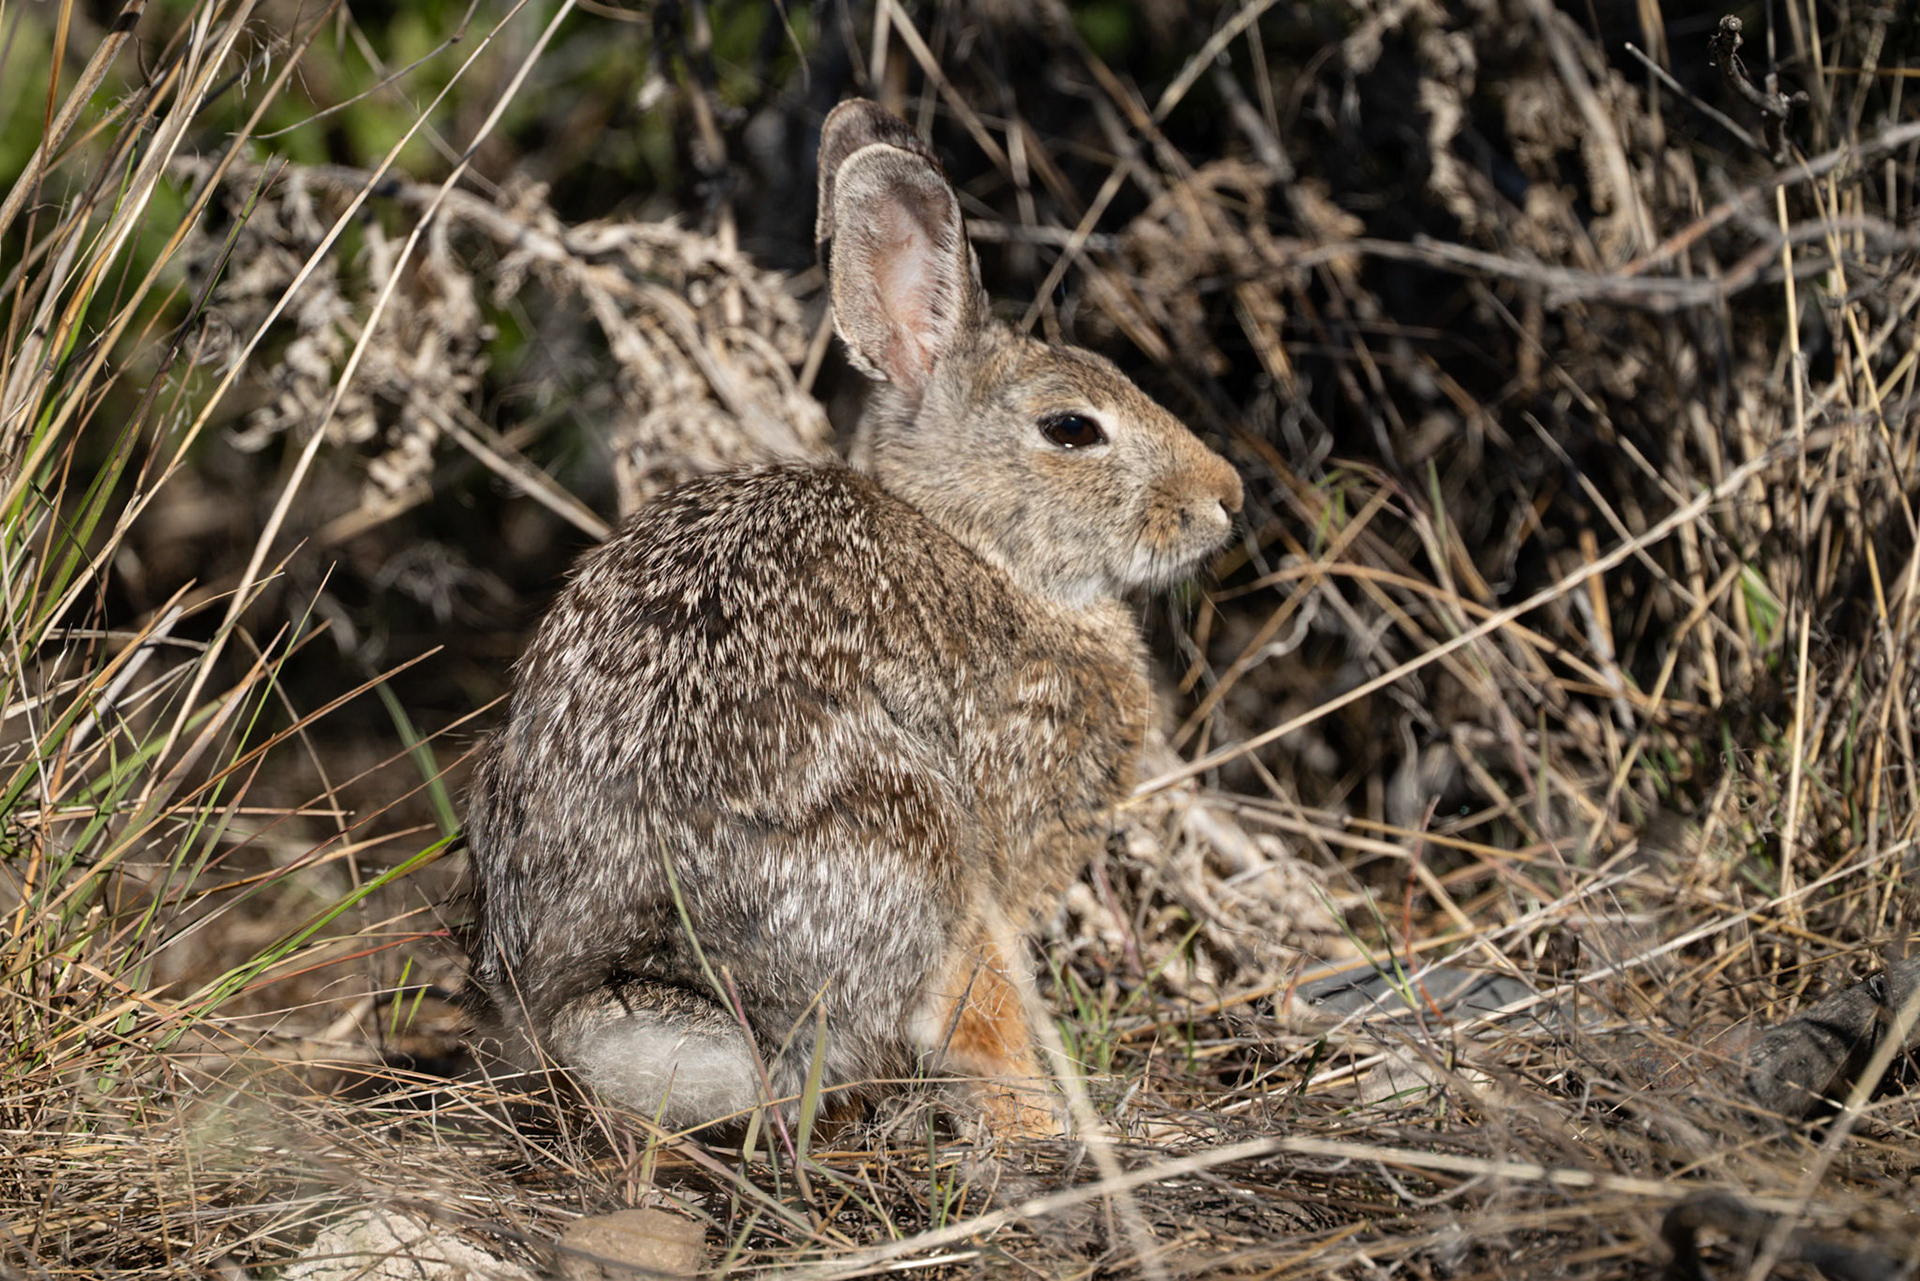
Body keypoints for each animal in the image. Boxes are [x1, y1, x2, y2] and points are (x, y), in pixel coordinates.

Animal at [463, 98, 1243, 1136]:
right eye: (1072, 429)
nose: (1227, 497)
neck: (982, 545)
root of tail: (622, 983)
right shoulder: (992, 864)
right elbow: (984, 1011)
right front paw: (1040, 1119)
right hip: (907, 839)